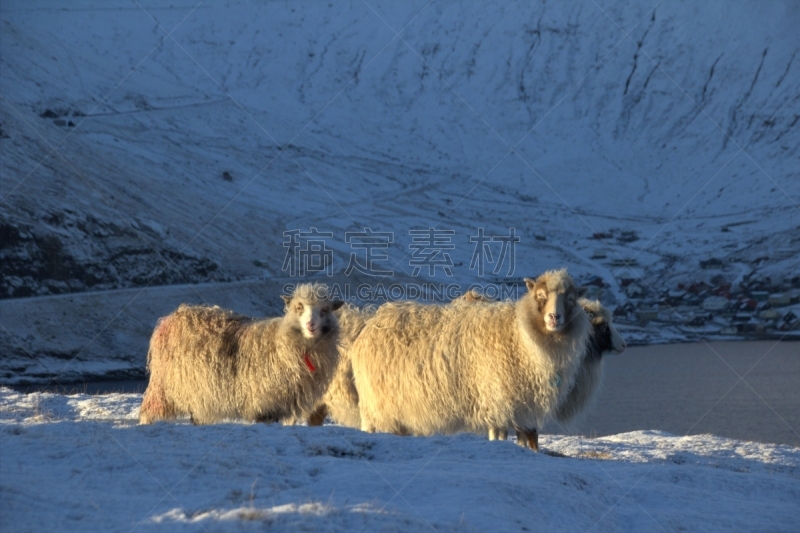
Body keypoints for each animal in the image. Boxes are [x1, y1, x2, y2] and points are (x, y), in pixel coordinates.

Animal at [138, 282, 344, 424]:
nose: (310, 324)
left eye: (325, 310)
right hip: (164, 387)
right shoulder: (264, 404)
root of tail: (171, 317)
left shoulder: (283, 406)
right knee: (150, 412)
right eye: (298, 307)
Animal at [348, 266, 588, 448]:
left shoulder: (519, 408)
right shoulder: (496, 400)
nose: (554, 317)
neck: (519, 336)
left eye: (570, 300)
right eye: (541, 297)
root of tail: (372, 322)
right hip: (374, 407)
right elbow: (499, 435)